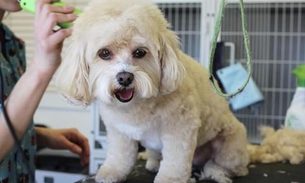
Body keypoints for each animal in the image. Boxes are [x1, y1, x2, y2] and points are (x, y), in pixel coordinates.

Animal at [55, 0, 248, 183]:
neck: (136, 106)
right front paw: (111, 172)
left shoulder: (181, 128)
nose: (125, 77)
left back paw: (216, 171)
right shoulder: (119, 131)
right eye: (104, 53)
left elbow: (175, 161)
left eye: (140, 52)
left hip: (230, 145)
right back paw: (154, 163)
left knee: (233, 167)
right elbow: (120, 155)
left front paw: (170, 179)